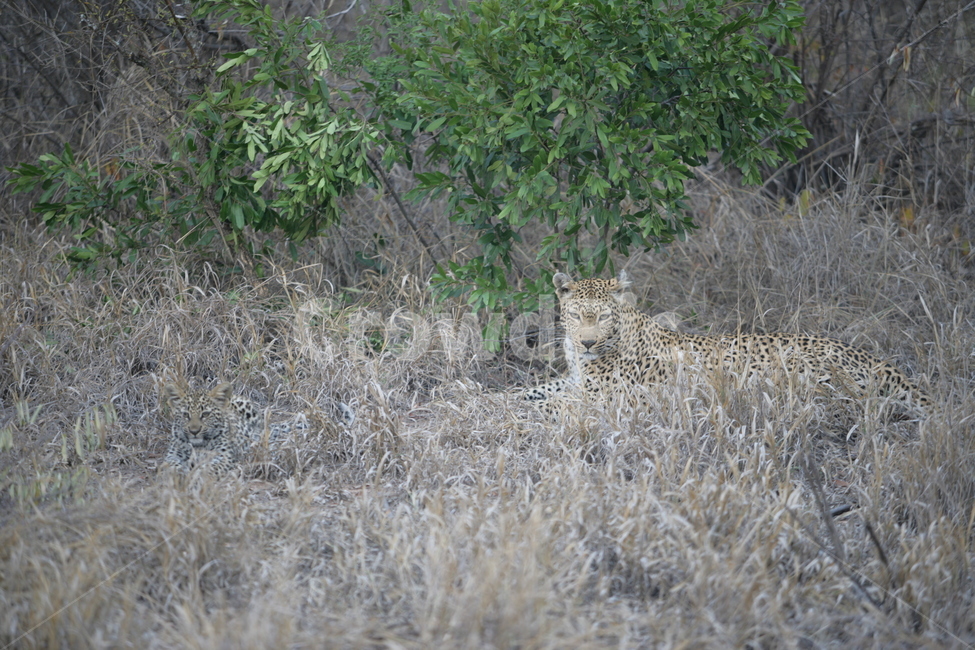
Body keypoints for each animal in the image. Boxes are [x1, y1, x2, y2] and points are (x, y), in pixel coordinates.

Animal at [161, 382, 355, 476]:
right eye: (185, 414)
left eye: (206, 414)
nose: (194, 431)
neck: (198, 445)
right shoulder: (173, 454)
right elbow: (168, 465)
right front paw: (178, 473)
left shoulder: (224, 457)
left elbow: (209, 468)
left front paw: (195, 474)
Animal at [523, 271, 931, 418]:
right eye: (577, 316)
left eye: (604, 316)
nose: (588, 343)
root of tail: (873, 358)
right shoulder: (575, 380)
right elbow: (535, 389)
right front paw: (510, 397)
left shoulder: (603, 396)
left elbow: (555, 403)